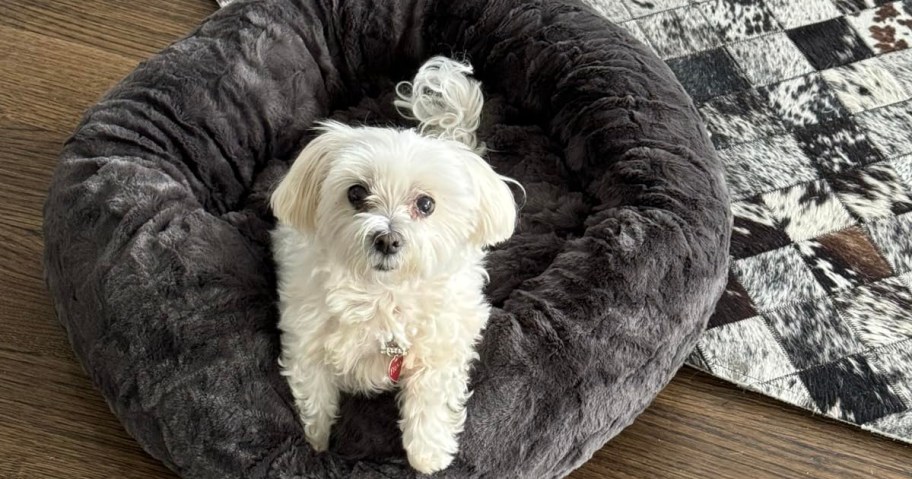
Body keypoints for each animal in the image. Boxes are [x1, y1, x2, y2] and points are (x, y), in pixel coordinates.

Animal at [268, 58, 520, 474]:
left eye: (426, 204)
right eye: (356, 193)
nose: (387, 239)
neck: (382, 297)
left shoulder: (445, 340)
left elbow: (430, 395)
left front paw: (428, 455)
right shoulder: (305, 339)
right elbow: (314, 396)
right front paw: (315, 445)